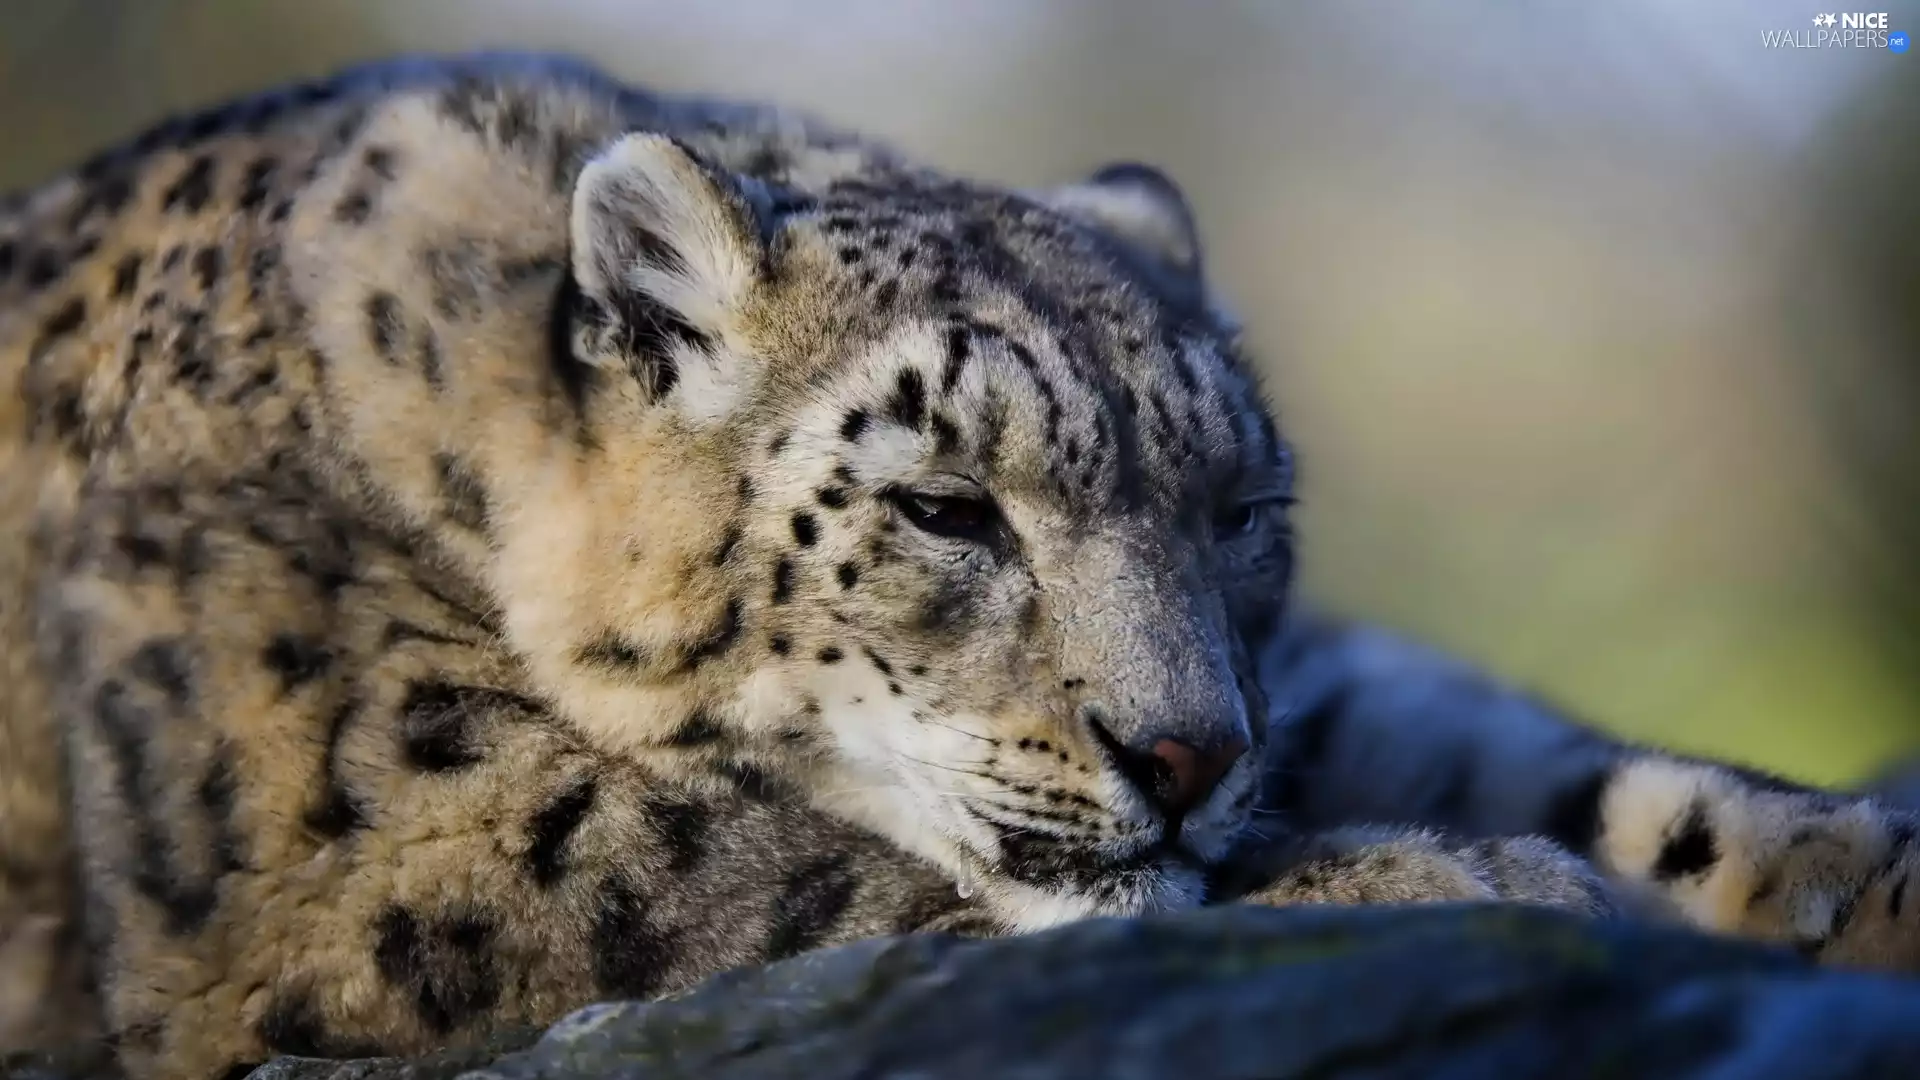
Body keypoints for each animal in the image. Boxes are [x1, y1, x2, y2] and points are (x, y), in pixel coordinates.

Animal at [2, 53, 1917, 1080]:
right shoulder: (363, 829)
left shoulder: (1308, 681)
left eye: (1238, 511)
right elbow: (751, 868)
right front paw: (1458, 883)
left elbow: (1516, 743)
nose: (1187, 754)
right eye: (947, 511)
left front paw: (1854, 870)